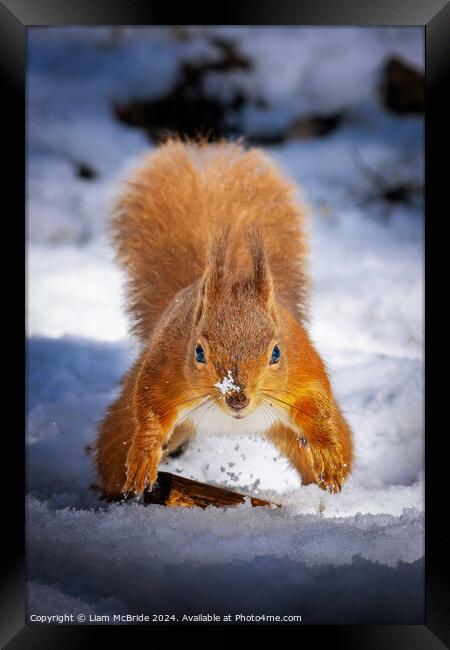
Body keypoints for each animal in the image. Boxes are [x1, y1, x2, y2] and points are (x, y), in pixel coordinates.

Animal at [96, 138, 354, 496]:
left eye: (276, 352)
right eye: (198, 352)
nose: (237, 397)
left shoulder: (302, 364)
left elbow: (317, 404)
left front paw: (328, 453)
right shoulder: (164, 368)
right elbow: (149, 408)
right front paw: (145, 454)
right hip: (120, 428)